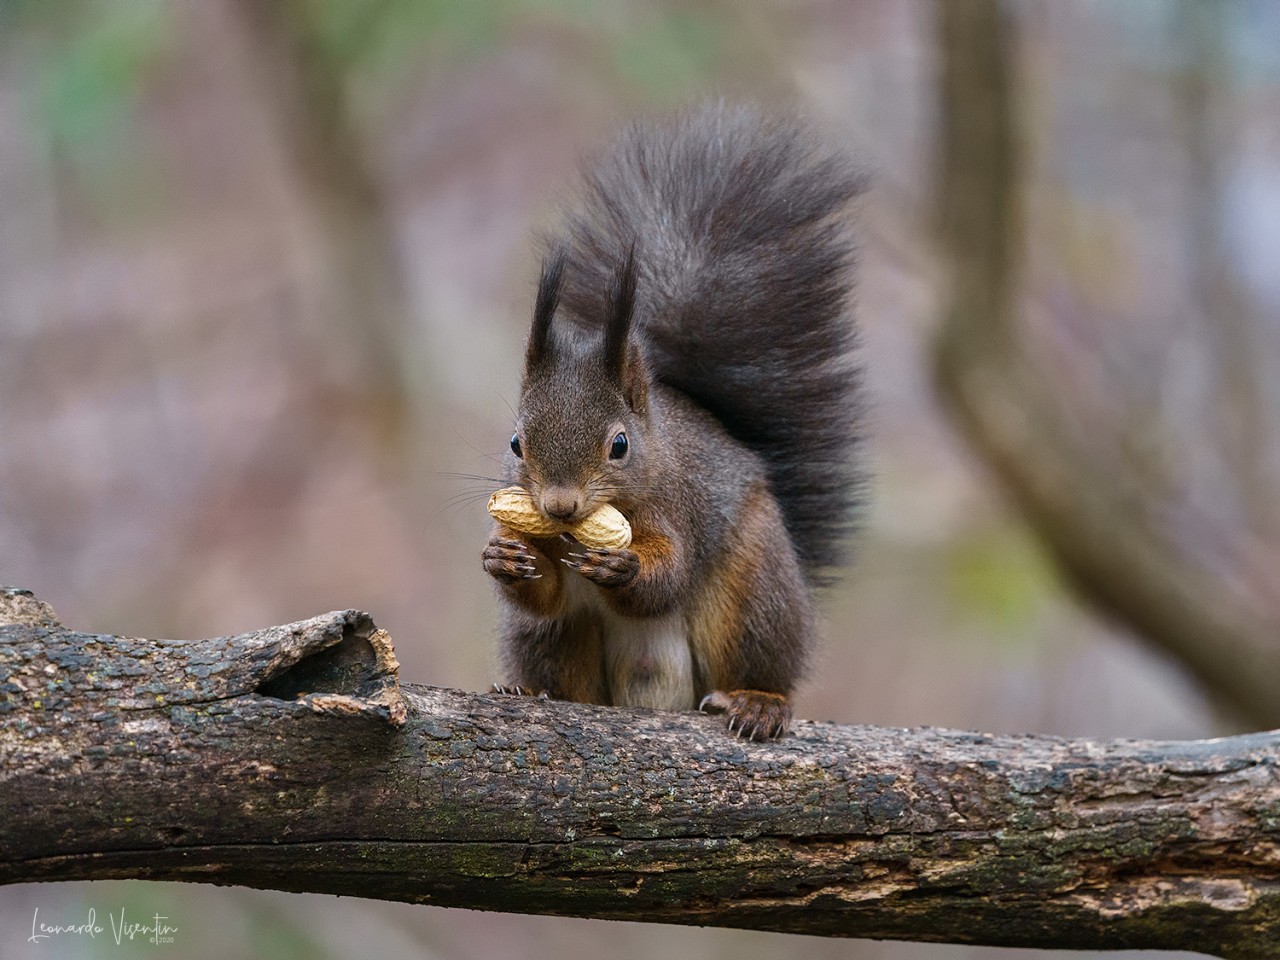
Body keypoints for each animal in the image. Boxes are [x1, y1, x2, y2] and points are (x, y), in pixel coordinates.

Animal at [481, 102, 864, 740]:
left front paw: (624, 565)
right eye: (515, 442)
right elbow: (547, 597)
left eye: (619, 445)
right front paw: (505, 557)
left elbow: (668, 576)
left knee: (758, 656)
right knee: (558, 648)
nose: (559, 506)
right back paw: (530, 689)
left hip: (754, 588)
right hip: (553, 645)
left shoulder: (678, 507)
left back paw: (758, 702)